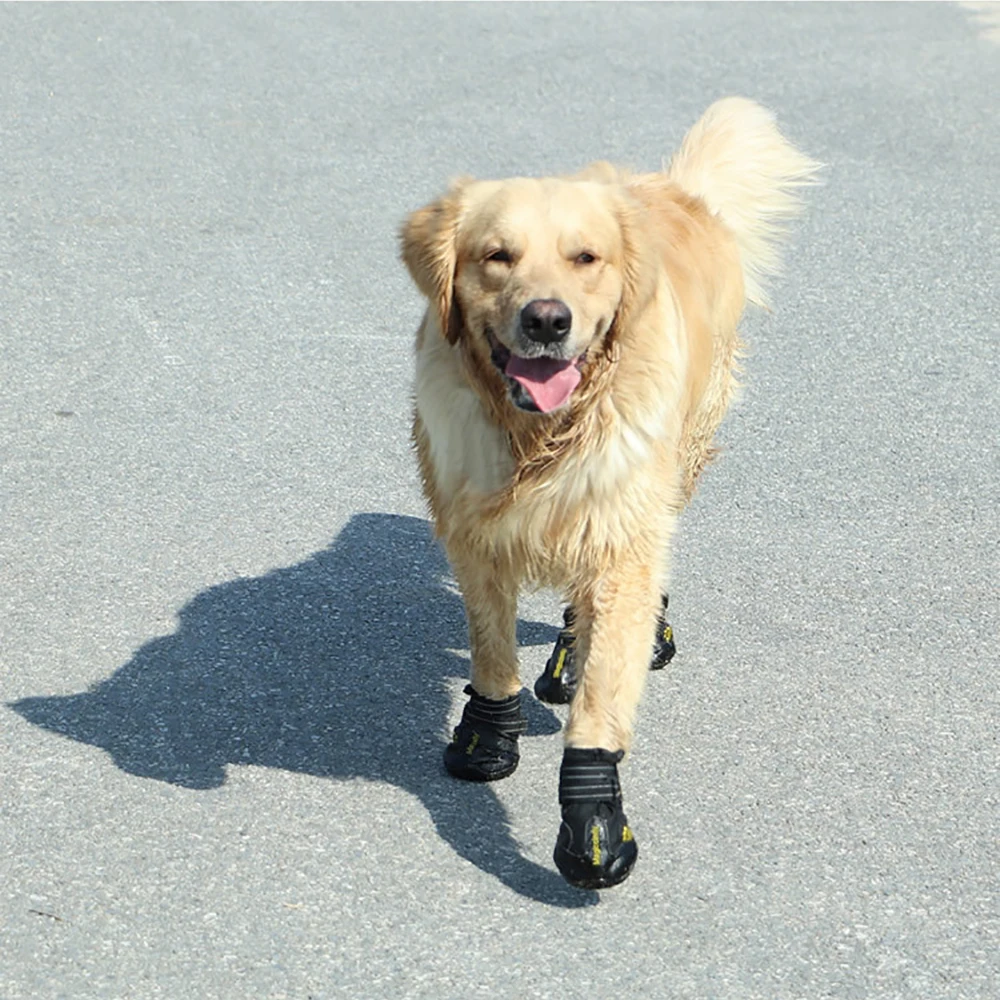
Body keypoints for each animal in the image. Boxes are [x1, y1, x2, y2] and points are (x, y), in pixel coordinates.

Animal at [400, 97, 820, 888]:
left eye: (585, 258)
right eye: (496, 255)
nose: (546, 319)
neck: (541, 433)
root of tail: (673, 189)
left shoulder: (621, 535)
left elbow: (604, 691)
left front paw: (593, 819)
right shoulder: (472, 532)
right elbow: (491, 648)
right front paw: (487, 736)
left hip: (683, 455)